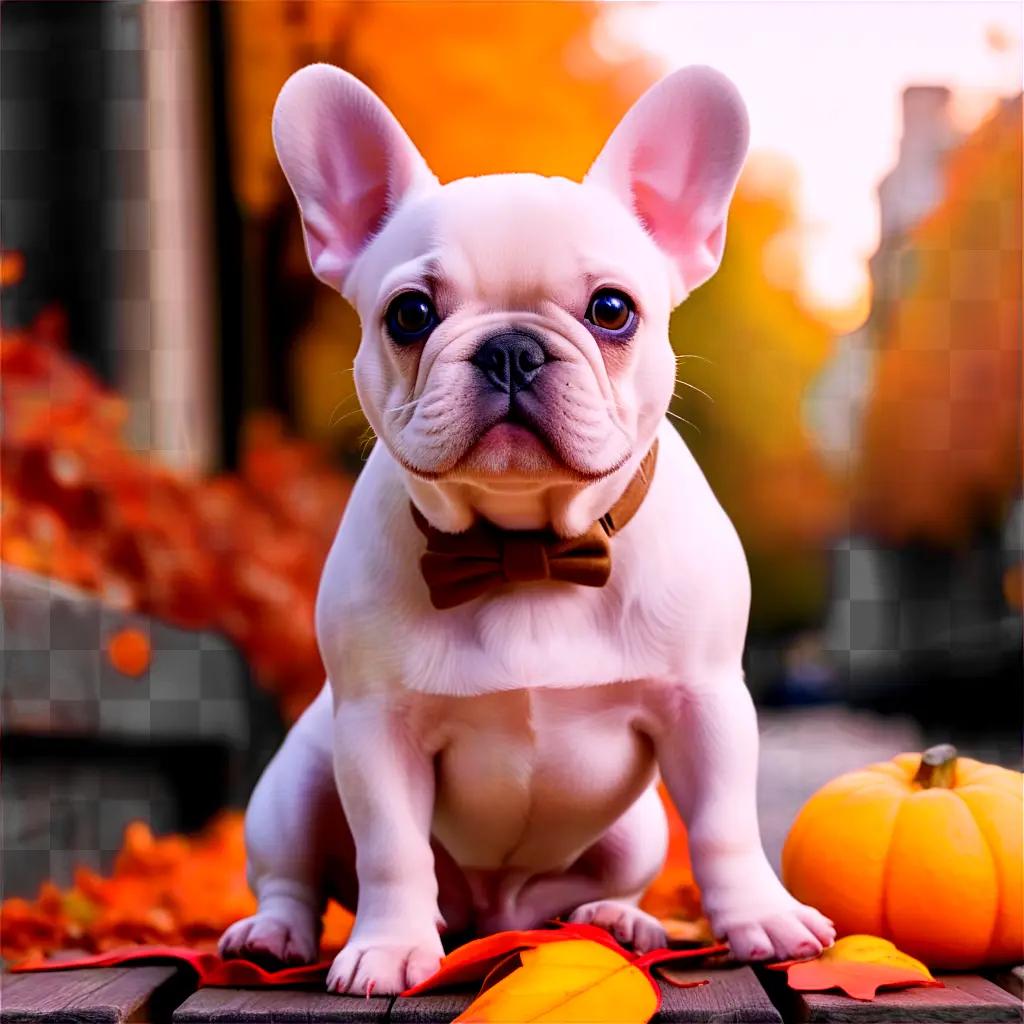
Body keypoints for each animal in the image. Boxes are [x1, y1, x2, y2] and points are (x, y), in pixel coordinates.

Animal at [220, 64, 835, 991]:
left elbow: (725, 827)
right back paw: (275, 934)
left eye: (612, 309)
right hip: (295, 781)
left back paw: (615, 918)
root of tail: (492, 914)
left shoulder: (707, 704)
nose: (511, 347)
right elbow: (391, 849)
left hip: (638, 829)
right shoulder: (375, 729)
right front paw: (389, 946)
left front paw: (762, 918)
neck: (523, 547)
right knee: (292, 872)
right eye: (409, 314)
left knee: (588, 888)